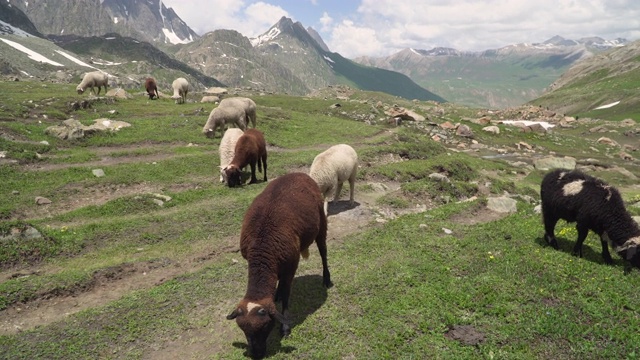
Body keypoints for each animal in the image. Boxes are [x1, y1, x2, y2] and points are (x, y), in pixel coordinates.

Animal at [226, 173, 336, 358]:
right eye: (243, 330)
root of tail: (299, 174)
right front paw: (276, 294)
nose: (256, 355)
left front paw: (285, 327)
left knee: (323, 252)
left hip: (321, 222)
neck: (262, 248)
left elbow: (286, 294)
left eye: (264, 327)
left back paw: (326, 279)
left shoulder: (291, 267)